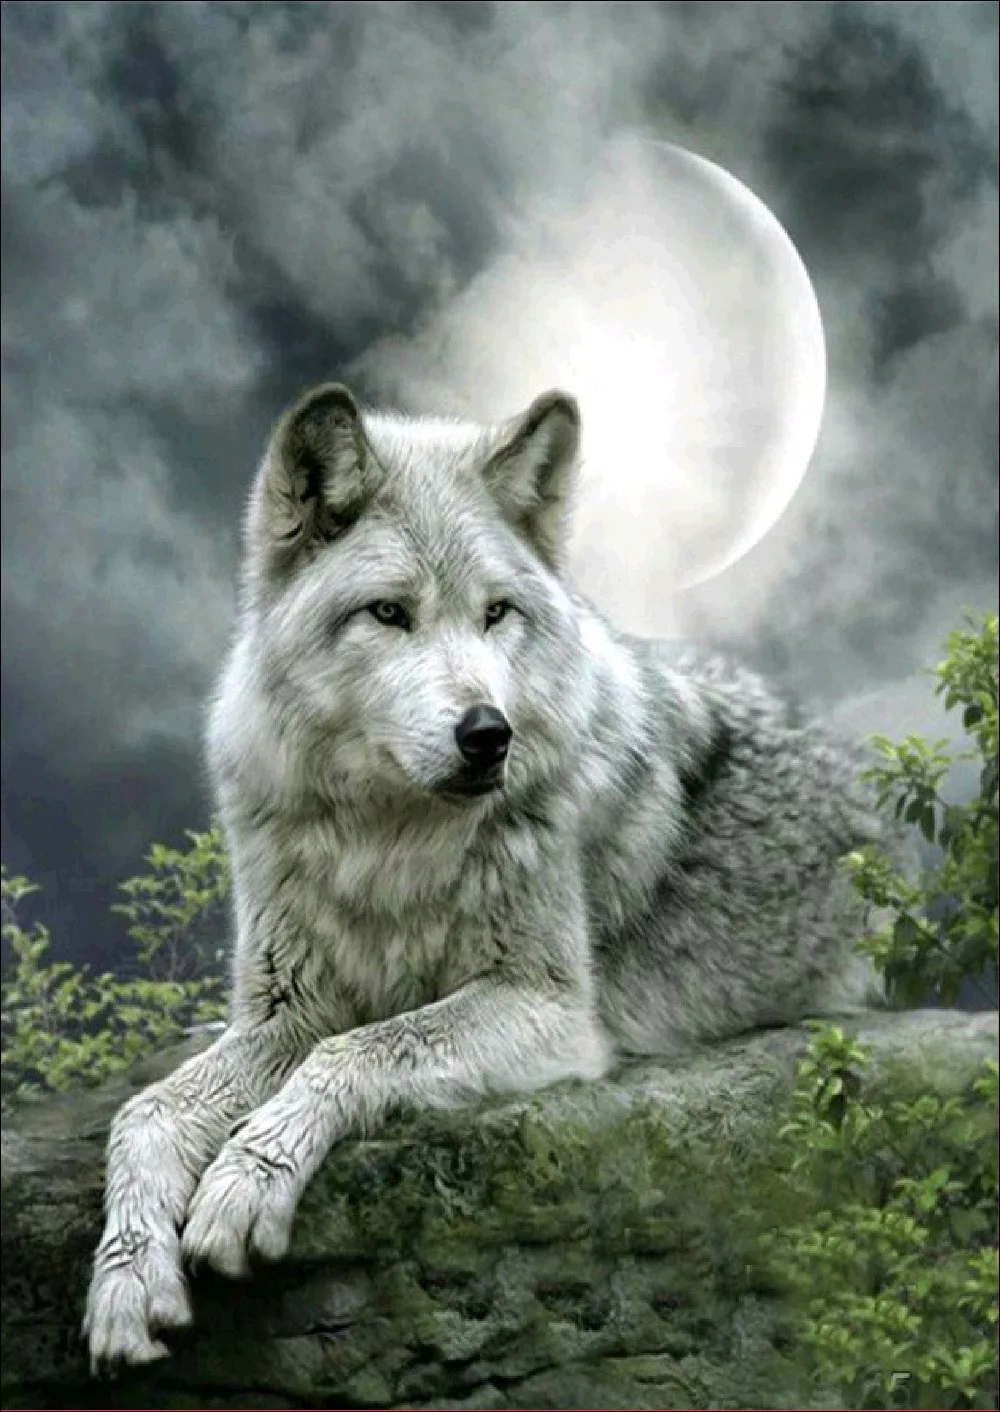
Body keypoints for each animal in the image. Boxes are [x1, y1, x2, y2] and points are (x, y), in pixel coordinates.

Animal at [84, 381, 886, 1369]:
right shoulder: (285, 1012)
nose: (487, 734)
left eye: (497, 613)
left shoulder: (550, 1009)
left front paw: (244, 1181)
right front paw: (126, 1281)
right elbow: (144, 1113)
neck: (388, 843)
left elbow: (355, 1051)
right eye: (389, 613)